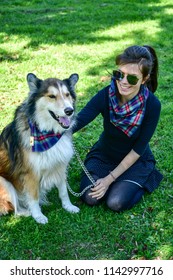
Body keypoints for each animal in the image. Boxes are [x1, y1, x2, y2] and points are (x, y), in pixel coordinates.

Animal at [0, 72, 79, 223]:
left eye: (67, 95)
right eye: (52, 96)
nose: (69, 111)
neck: (48, 132)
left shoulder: (60, 166)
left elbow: (63, 191)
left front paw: (68, 206)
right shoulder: (30, 173)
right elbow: (33, 197)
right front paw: (38, 216)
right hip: (4, 181)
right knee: (12, 208)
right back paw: (27, 213)